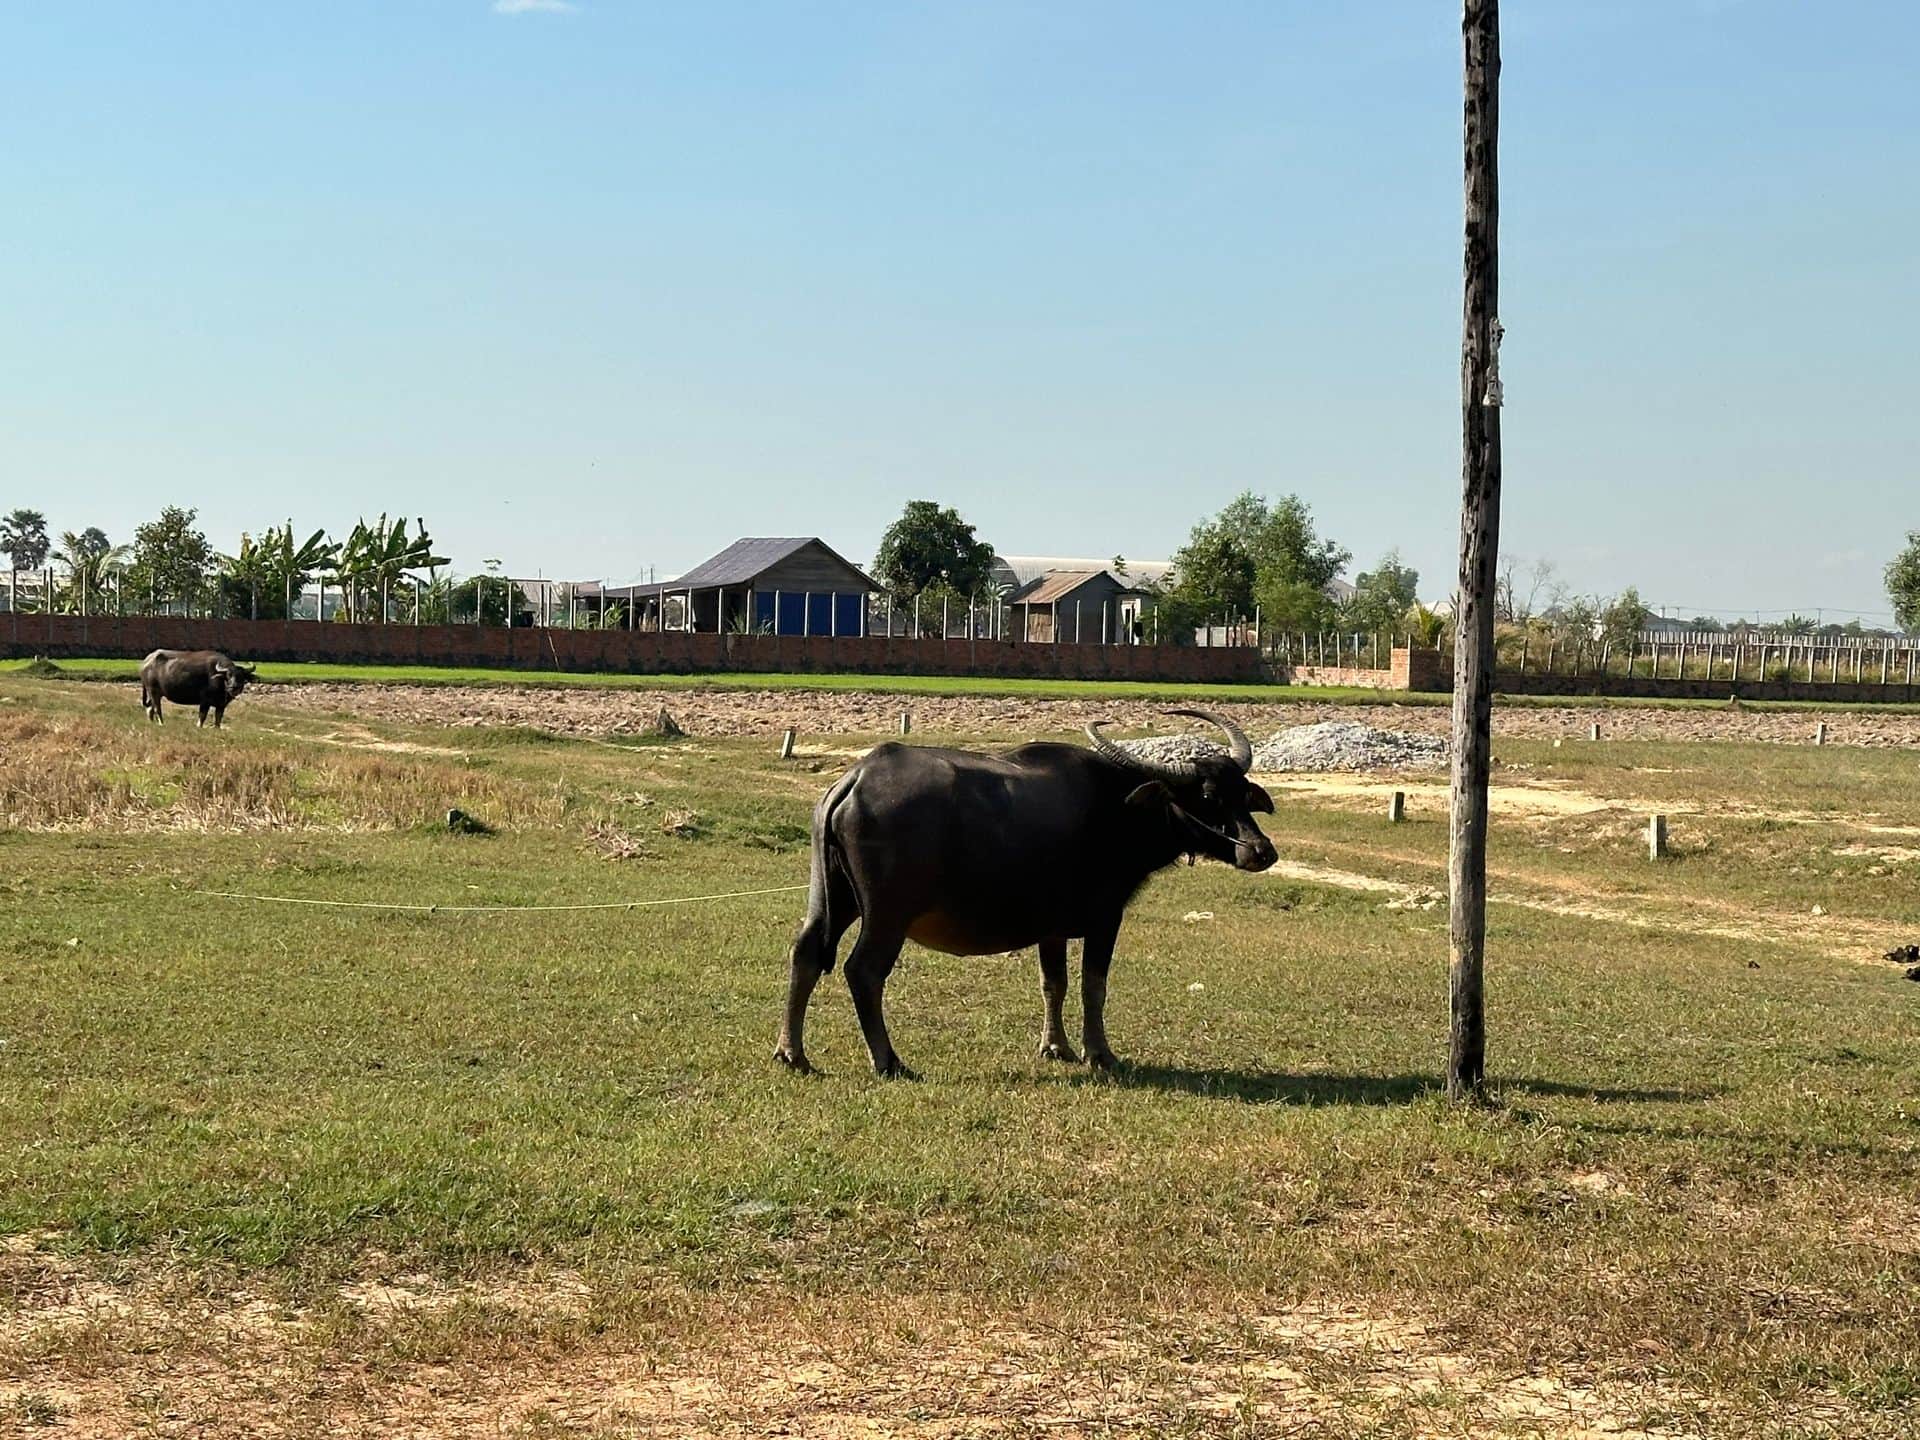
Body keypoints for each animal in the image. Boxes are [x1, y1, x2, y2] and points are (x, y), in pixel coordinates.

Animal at [776, 710, 1277, 1078]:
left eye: (1241, 792)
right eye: (1207, 796)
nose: (1261, 850)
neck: (1115, 808)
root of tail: (855, 780)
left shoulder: (1050, 928)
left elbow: (1053, 983)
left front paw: (1055, 1046)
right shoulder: (1106, 918)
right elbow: (1093, 985)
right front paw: (1100, 1054)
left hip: (833, 897)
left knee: (805, 952)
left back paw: (793, 1054)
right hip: (887, 914)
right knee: (863, 970)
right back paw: (889, 1061)